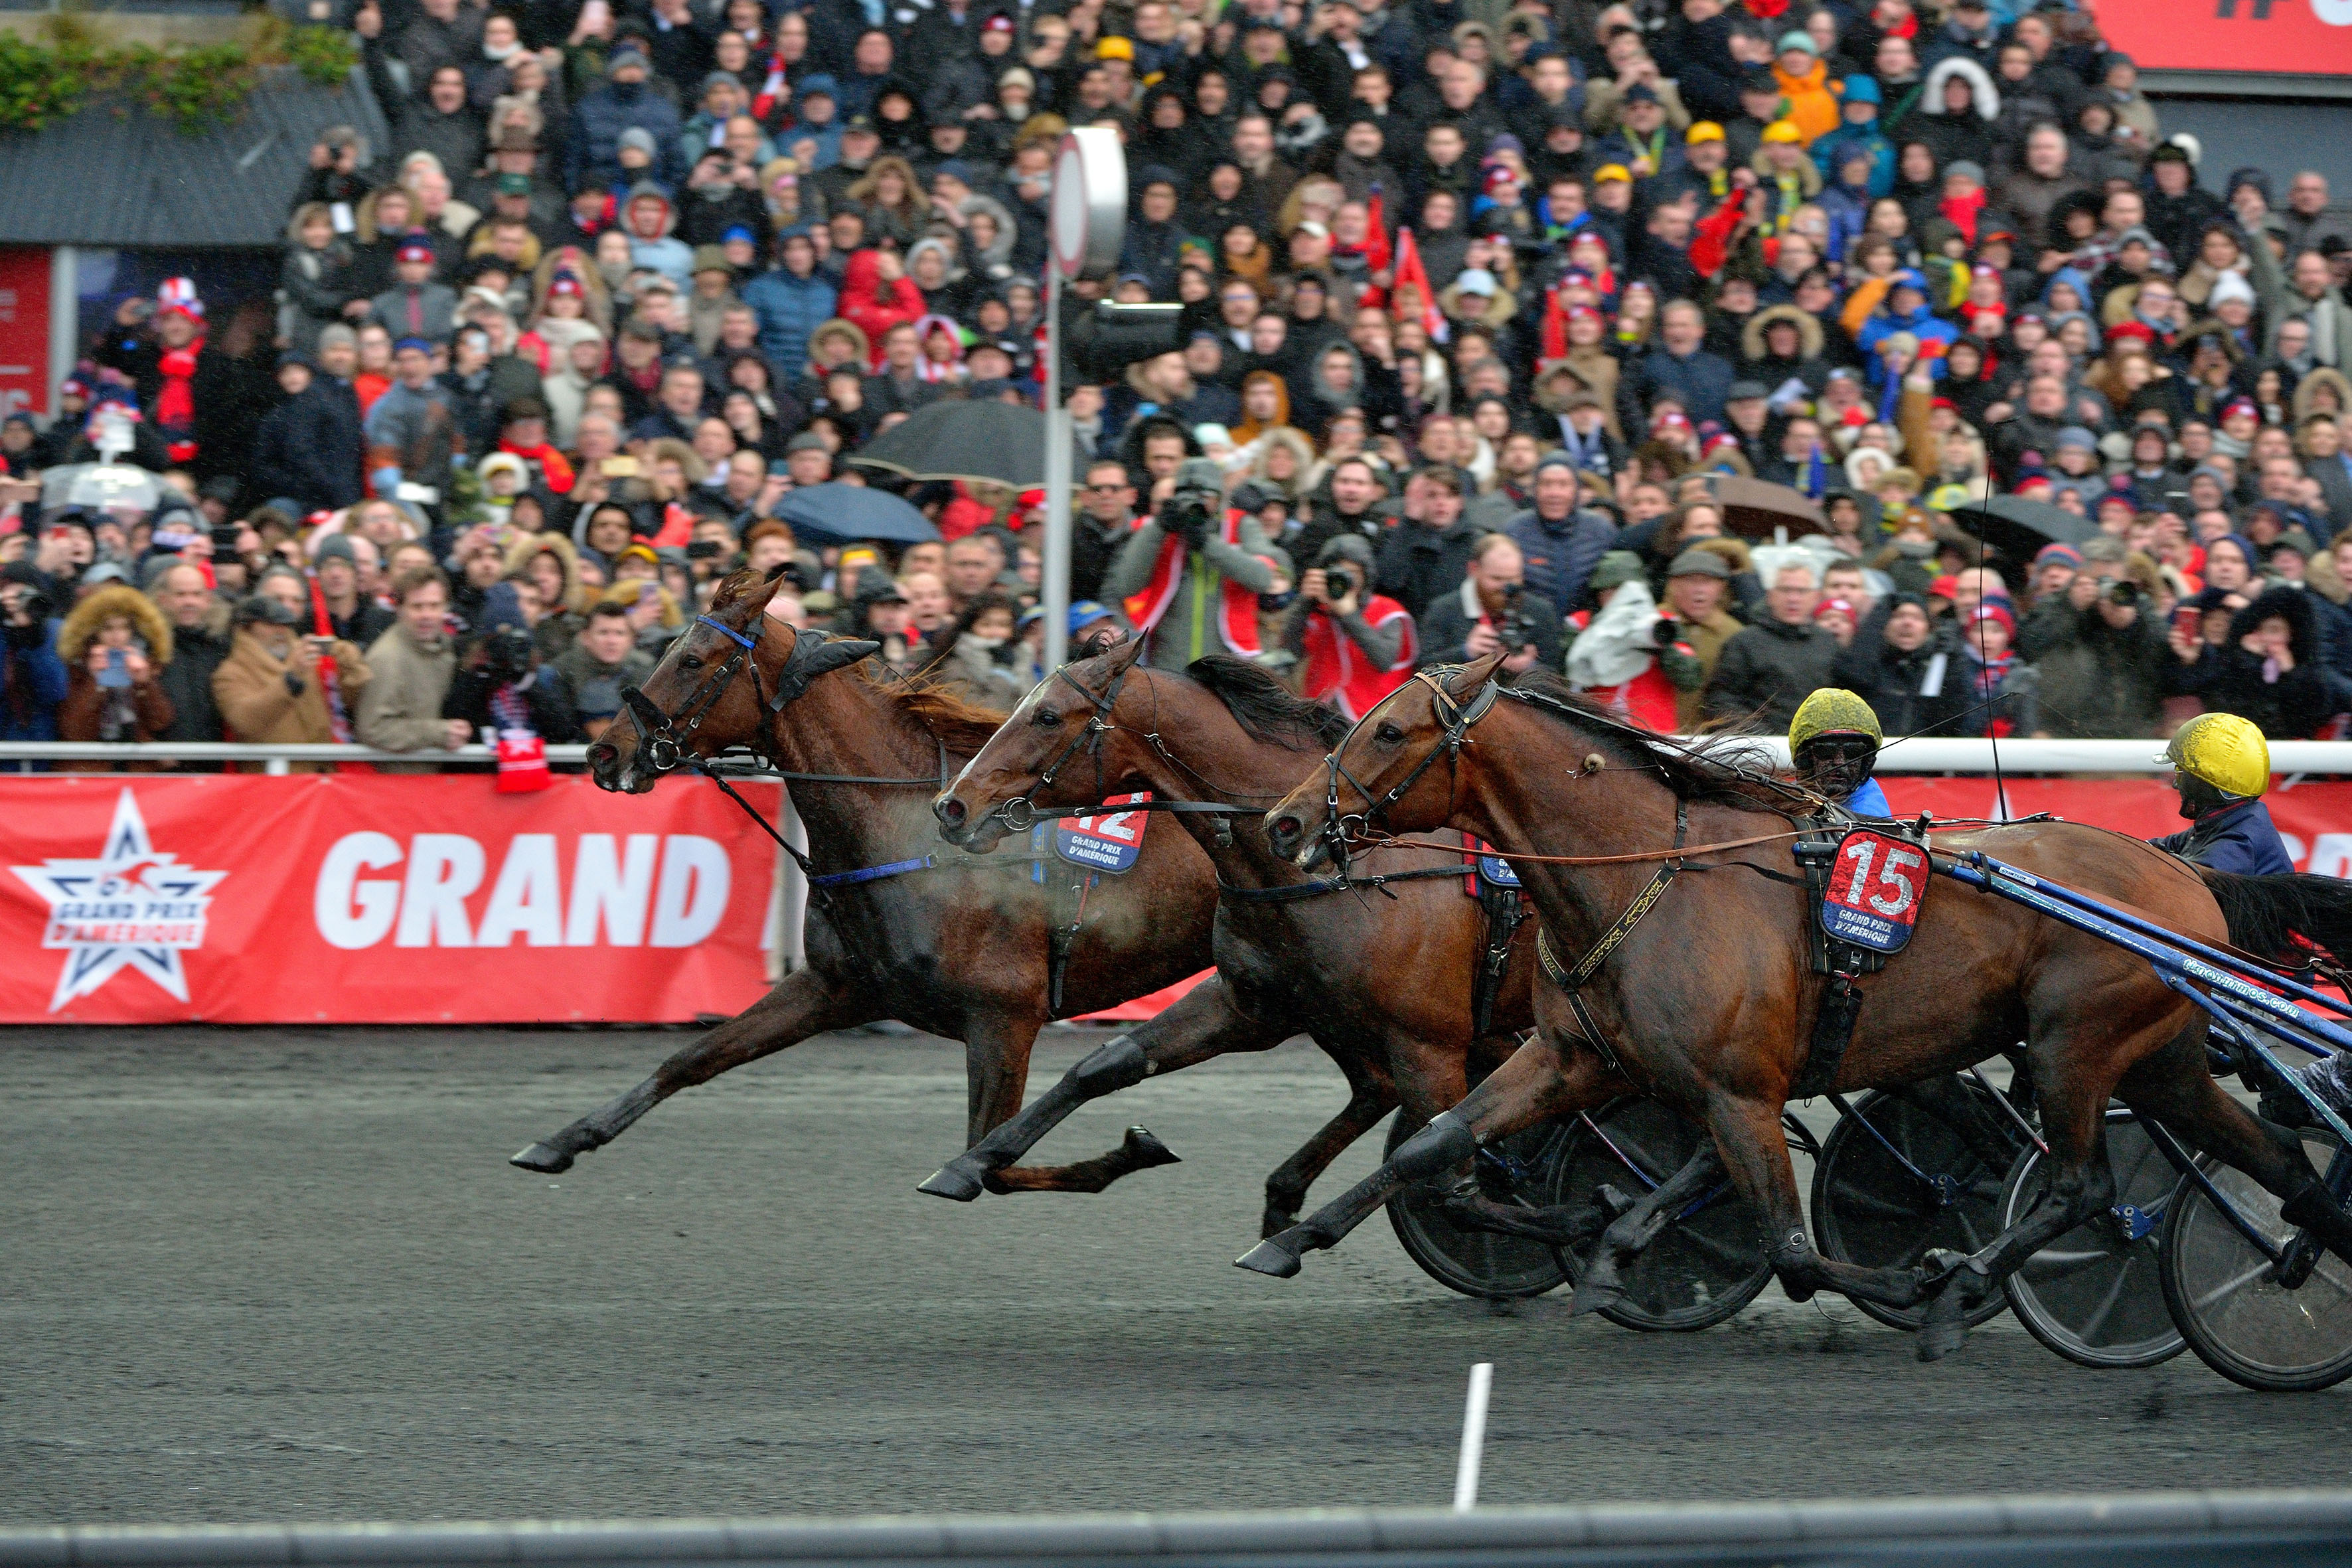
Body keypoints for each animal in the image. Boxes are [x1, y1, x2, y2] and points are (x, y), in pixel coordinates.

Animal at [514, 564, 1223, 1189]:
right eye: (666, 648)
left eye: (692, 660)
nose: (605, 753)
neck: (910, 837)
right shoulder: (837, 985)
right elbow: (690, 1058)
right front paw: (560, 1141)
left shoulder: (1003, 1014)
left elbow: (992, 1159)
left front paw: (1135, 1149)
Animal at [917, 639, 1636, 1241]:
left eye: (1046, 717)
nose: (952, 806)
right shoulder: (1253, 1003)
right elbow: (1106, 1063)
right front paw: (973, 1161)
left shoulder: (1429, 1041)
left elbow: (1445, 1174)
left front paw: (1592, 1216)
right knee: (1376, 1088)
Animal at [1251, 658, 2352, 1354]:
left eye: (1387, 729)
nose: (1285, 821)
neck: (1644, 873)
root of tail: (2187, 882)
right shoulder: (1571, 1055)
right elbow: (1431, 1146)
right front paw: (1288, 1237)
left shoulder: (1738, 1088)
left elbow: (1786, 1244)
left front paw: (1911, 1280)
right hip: (2160, 1058)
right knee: (2274, 1156)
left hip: (2070, 1043)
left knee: (2081, 1186)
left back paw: (1962, 1285)